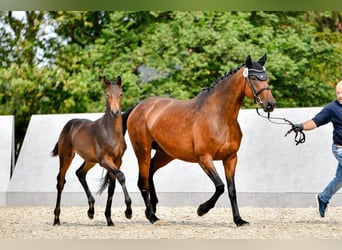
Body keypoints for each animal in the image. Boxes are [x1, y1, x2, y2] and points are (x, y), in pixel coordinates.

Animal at [51, 76, 132, 227]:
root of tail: (69, 124)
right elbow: (121, 176)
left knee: (80, 173)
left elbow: (112, 186)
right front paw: (128, 211)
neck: (111, 133)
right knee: (60, 181)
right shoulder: (105, 160)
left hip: (90, 160)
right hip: (66, 157)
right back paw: (56, 219)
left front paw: (109, 219)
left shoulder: (117, 160)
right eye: (107, 94)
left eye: (121, 94)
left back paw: (91, 210)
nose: (115, 112)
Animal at [124, 53, 276, 226]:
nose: (270, 104)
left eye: (266, 77)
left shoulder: (230, 159)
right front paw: (202, 209)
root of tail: (138, 107)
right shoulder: (204, 158)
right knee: (142, 182)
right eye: (253, 77)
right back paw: (152, 217)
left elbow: (232, 190)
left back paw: (153, 210)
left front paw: (238, 220)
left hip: (165, 154)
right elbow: (220, 186)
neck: (220, 118)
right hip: (143, 151)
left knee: (149, 174)